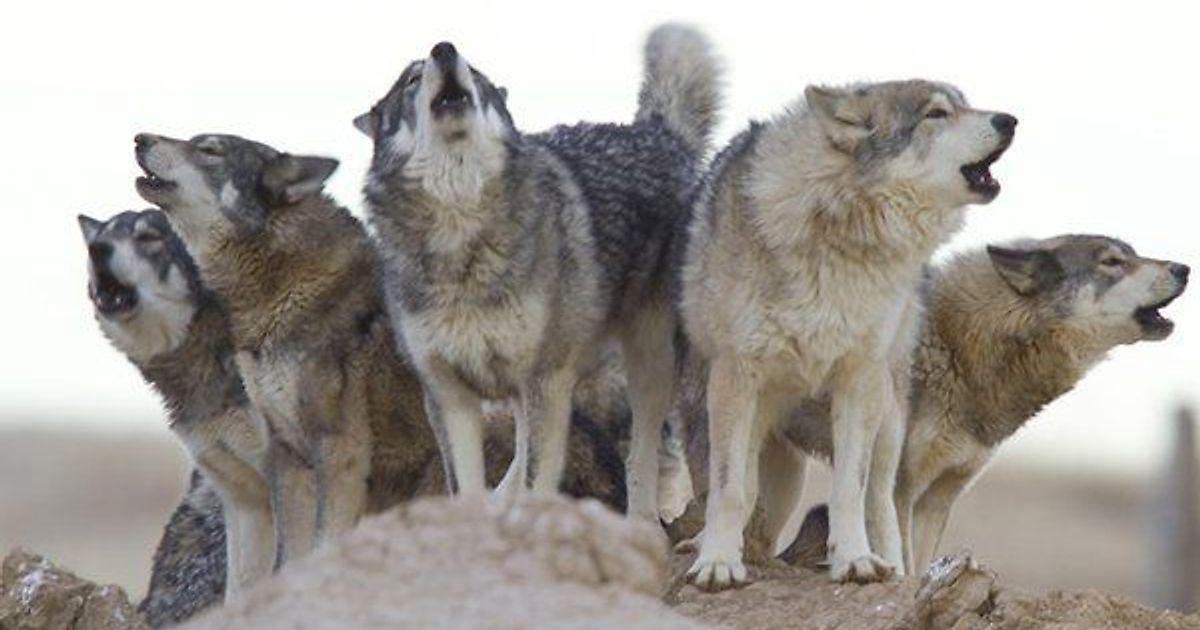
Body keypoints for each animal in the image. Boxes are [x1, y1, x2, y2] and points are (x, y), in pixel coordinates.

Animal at [133, 132, 439, 565]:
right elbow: (288, 555)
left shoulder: (339, 450)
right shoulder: (289, 456)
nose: (139, 138)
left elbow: (324, 542)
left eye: (210, 150)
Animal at [355, 24, 720, 519]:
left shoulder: (544, 379)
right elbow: (466, 489)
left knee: (638, 458)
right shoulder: (449, 395)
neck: (460, 231)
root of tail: (657, 132)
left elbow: (537, 480)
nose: (445, 50)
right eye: (412, 79)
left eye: (475, 71)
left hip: (645, 365)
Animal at [679, 80, 1016, 588]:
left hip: (888, 416)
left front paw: (854, 560)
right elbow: (729, 488)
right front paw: (718, 562)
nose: (1010, 120)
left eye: (965, 103)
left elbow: (849, 493)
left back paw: (892, 570)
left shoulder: (858, 380)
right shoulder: (734, 377)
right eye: (936, 113)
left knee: (882, 502)